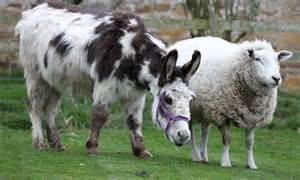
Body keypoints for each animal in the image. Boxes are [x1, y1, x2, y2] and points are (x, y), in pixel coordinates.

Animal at [169, 36, 292, 169]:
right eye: (257, 59)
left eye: (277, 60)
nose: (276, 79)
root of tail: (181, 42)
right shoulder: (222, 114)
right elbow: (227, 139)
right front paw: (226, 162)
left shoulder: (251, 116)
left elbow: (250, 142)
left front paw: (251, 164)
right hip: (189, 106)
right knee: (191, 131)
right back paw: (196, 156)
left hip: (205, 108)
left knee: (205, 131)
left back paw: (204, 157)